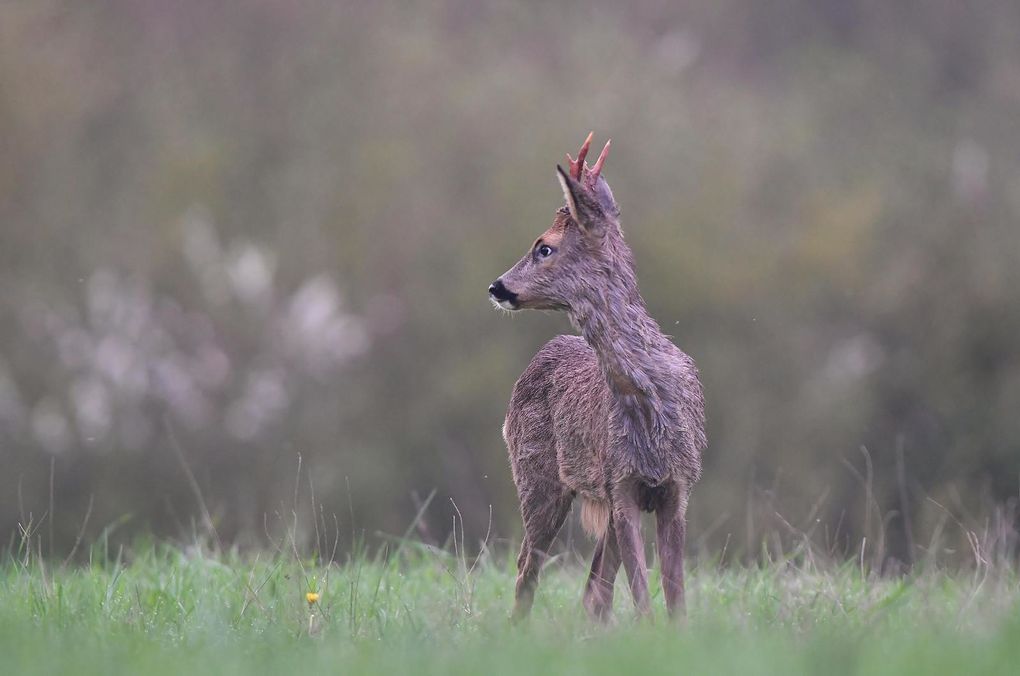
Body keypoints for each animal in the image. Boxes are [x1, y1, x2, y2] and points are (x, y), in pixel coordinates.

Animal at [489, 133, 705, 624]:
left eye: (544, 247)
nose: (496, 286)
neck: (649, 401)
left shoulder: (676, 485)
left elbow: (674, 596)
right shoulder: (619, 484)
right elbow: (643, 596)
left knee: (593, 592)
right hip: (538, 476)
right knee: (528, 566)